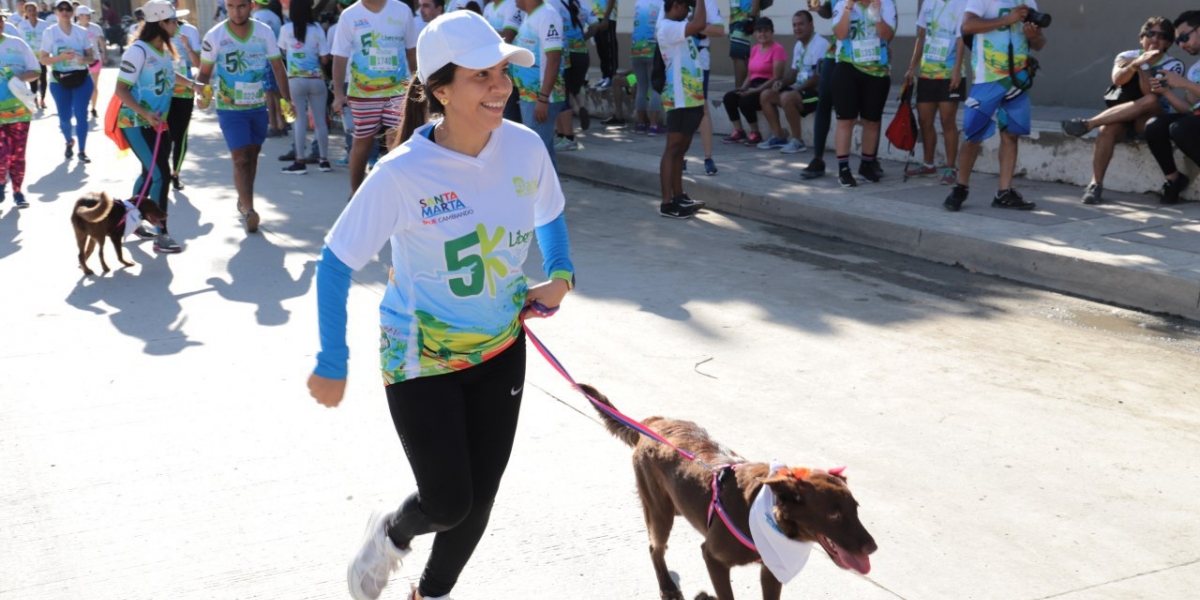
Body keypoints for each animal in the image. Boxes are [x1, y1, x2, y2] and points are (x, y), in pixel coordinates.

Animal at [585, 384, 878, 600]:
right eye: (833, 515)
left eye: (855, 509)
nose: (873, 547)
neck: (760, 508)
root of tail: (653, 424)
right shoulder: (713, 557)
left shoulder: (770, 570)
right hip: (660, 511)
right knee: (654, 547)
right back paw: (667, 586)